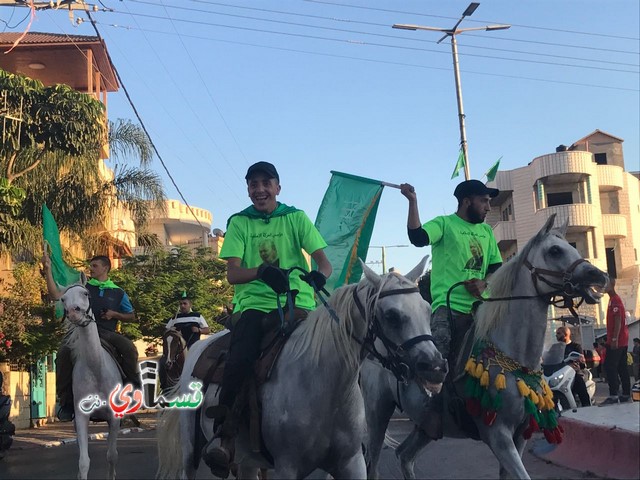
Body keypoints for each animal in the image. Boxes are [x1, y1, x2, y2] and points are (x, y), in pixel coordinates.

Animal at [61, 284, 124, 480]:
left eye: (85, 293)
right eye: (63, 298)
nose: (73, 312)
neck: (96, 369)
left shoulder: (114, 419)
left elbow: (112, 456)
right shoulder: (81, 417)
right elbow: (83, 462)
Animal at [156, 258, 448, 480]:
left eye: (426, 308)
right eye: (391, 316)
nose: (435, 366)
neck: (324, 385)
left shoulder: (350, 464)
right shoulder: (288, 468)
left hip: (247, 459)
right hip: (191, 450)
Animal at [362, 216, 608, 478]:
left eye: (574, 248)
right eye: (555, 250)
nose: (600, 276)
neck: (513, 354)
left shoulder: (520, 435)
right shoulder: (498, 436)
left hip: (427, 426)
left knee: (404, 455)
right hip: (377, 414)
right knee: (373, 461)